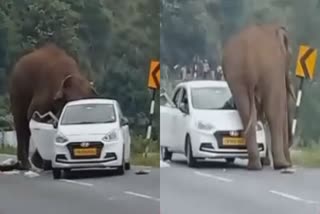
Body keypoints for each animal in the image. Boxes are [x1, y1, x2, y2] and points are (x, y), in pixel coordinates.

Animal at [0, 43, 97, 172]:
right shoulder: (43, 94)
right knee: (22, 124)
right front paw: (41, 162)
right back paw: (25, 165)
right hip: (17, 91)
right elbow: (34, 118)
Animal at [221, 23, 294, 171]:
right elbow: (279, 107)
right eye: (290, 56)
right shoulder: (277, 70)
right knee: (273, 112)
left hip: (236, 77)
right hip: (267, 70)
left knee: (246, 113)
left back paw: (254, 165)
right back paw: (280, 165)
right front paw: (286, 165)